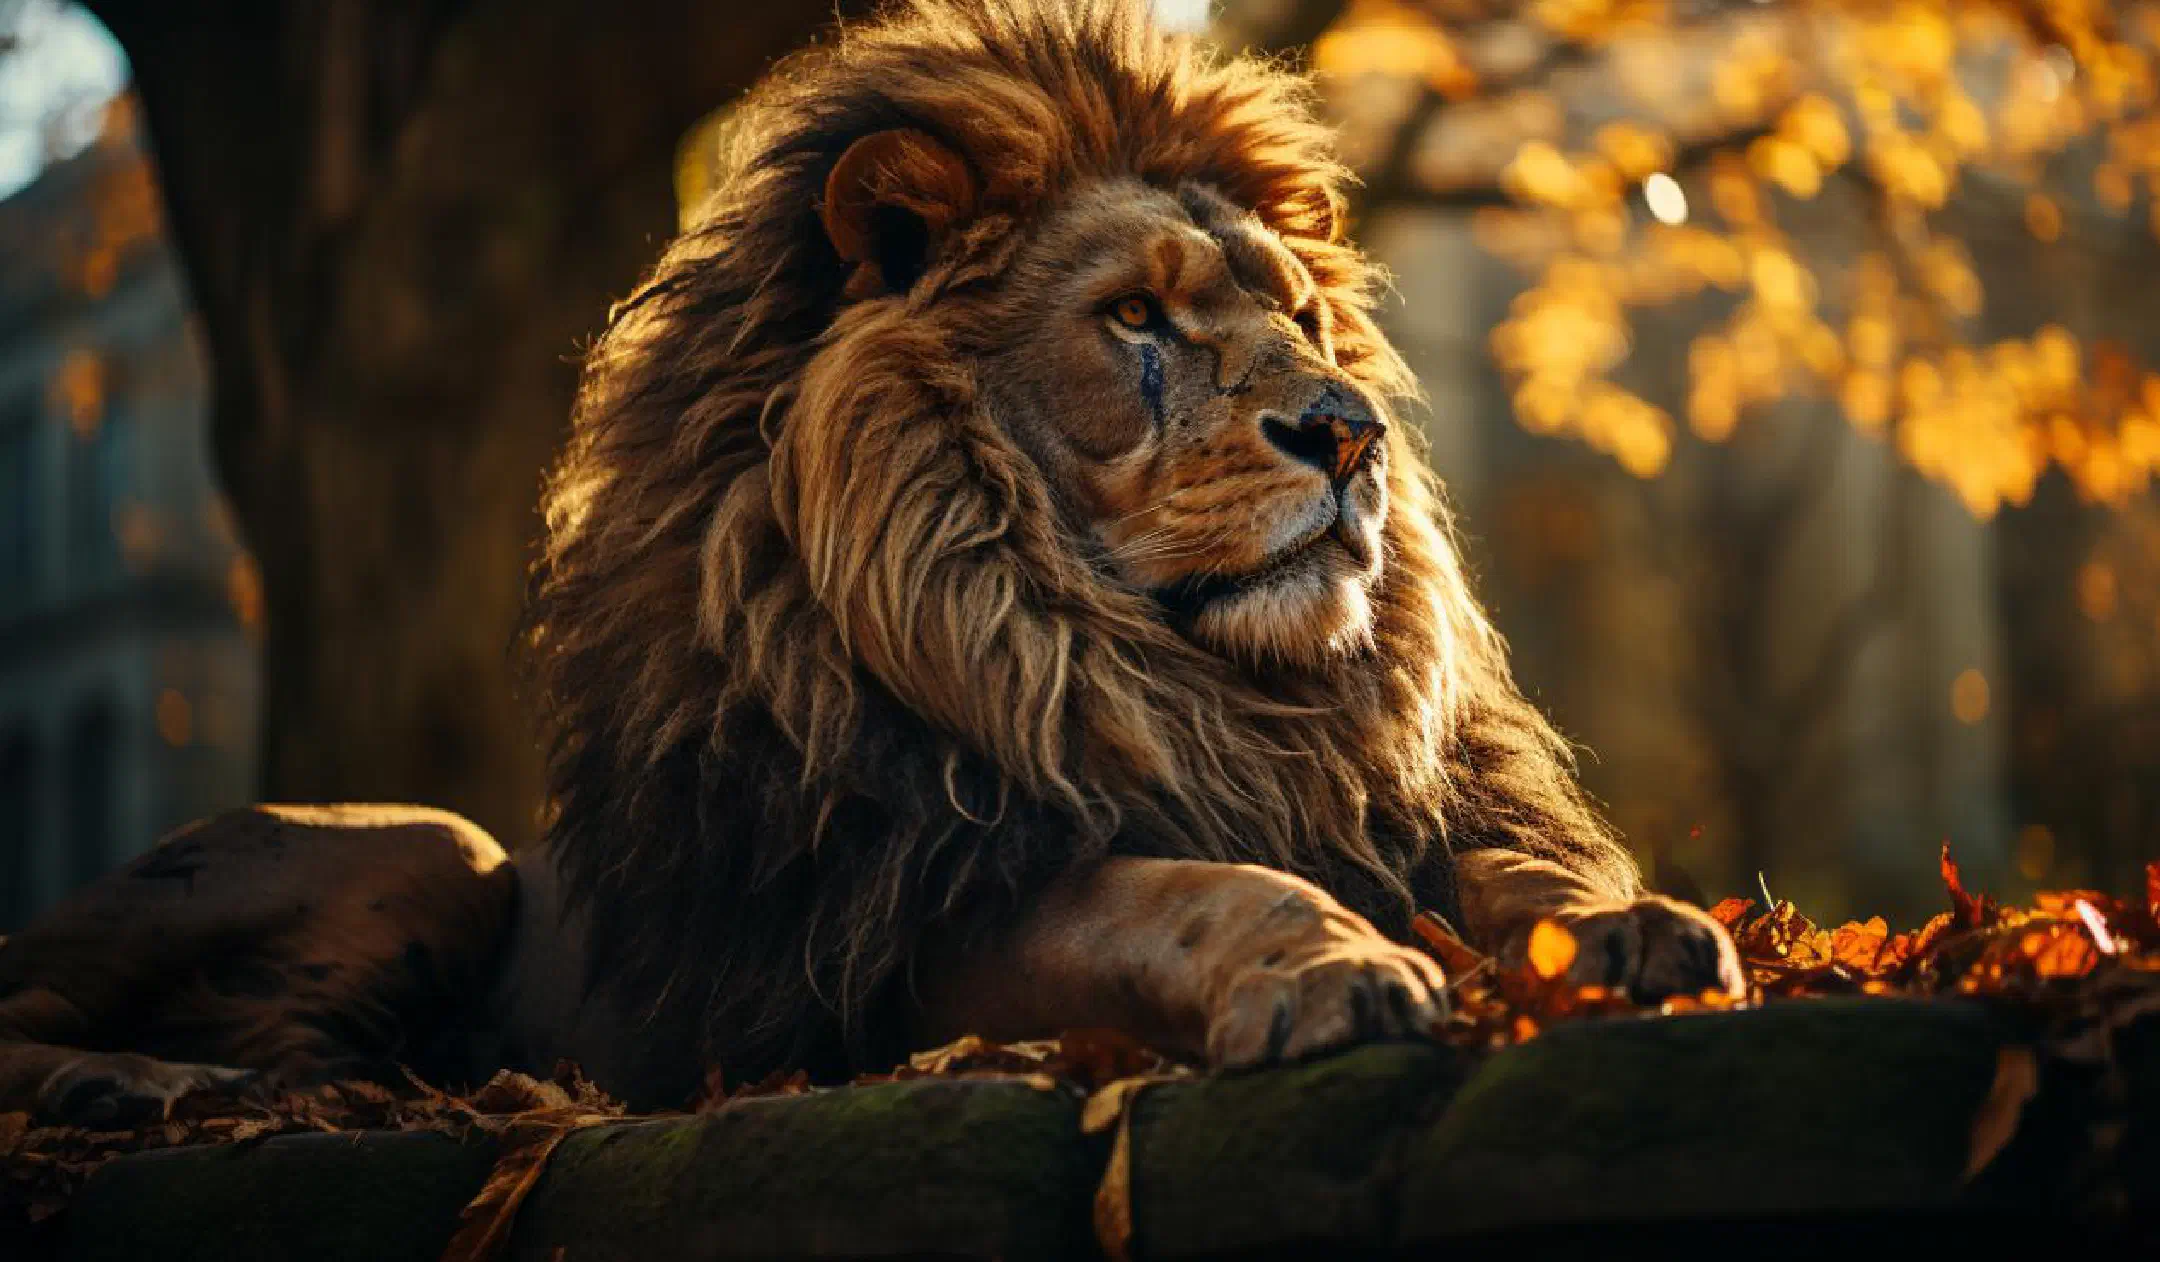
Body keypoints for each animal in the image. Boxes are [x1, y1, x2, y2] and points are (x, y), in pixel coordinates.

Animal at [0, 0, 1740, 1122]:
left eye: (1300, 317)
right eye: (1134, 316)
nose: (1350, 429)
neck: (1150, 673)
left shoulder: (1360, 804)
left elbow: (1514, 873)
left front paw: (1632, 922)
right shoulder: (913, 935)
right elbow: (1181, 890)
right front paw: (1328, 967)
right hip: (431, 844)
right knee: (34, 1003)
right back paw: (140, 1079)